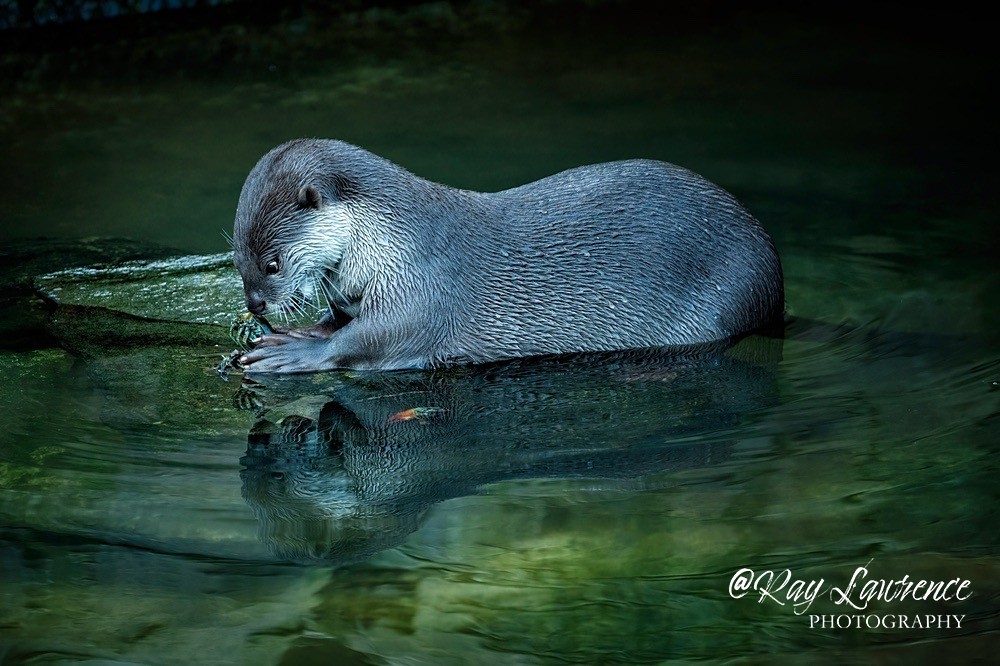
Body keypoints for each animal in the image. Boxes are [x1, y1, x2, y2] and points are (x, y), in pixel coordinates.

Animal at [234, 139, 783, 373]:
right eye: (239, 258)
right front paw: (297, 333)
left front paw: (293, 353)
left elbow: (368, 340)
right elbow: (339, 323)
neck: (392, 239)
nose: (256, 304)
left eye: (273, 263)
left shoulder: (427, 288)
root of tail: (773, 281)